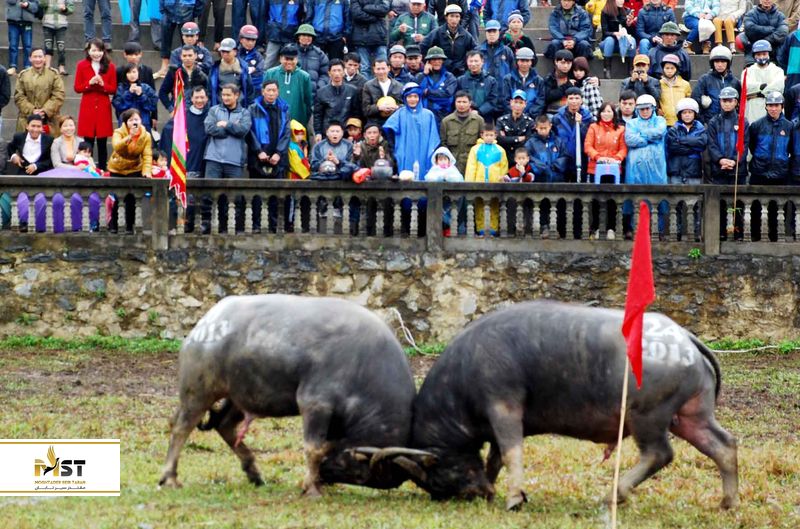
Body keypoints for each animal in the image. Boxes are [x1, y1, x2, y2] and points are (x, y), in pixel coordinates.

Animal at [159, 295, 421, 495]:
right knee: (181, 427)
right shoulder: (315, 403)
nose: (326, 475)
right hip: (198, 391)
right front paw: (311, 488)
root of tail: (207, 321)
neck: (365, 366)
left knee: (224, 425)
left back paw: (254, 472)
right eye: (360, 474)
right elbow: (314, 447)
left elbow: (324, 446)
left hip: (239, 395)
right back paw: (169, 478)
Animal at [378, 301, 738, 511]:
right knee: (723, 445)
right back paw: (727, 503)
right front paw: (498, 488)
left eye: (433, 475)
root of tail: (684, 338)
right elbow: (495, 457)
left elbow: (511, 451)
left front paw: (513, 499)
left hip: (648, 415)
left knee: (659, 454)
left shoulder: (504, 407)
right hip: (690, 415)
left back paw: (612, 495)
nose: (472, 494)